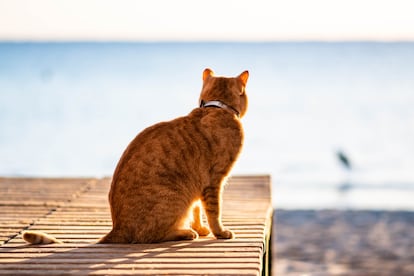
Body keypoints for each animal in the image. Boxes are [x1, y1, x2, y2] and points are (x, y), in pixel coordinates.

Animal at [22, 68, 249, 244]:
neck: (217, 109)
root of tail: (117, 228)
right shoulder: (214, 181)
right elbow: (213, 212)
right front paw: (219, 232)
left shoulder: (200, 187)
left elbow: (196, 210)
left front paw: (202, 229)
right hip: (173, 197)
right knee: (148, 236)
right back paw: (185, 232)